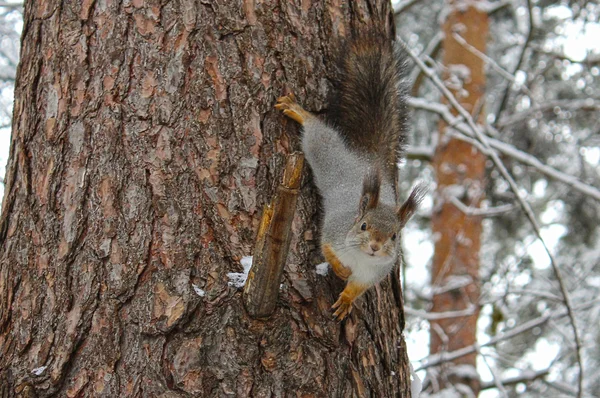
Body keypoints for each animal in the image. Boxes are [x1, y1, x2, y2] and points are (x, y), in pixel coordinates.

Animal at [274, 34, 424, 320]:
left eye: (394, 236)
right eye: (363, 226)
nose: (375, 246)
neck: (361, 258)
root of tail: (368, 160)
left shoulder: (375, 273)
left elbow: (358, 287)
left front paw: (346, 299)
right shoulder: (334, 231)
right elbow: (326, 249)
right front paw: (341, 269)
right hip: (327, 152)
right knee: (318, 133)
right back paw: (299, 112)